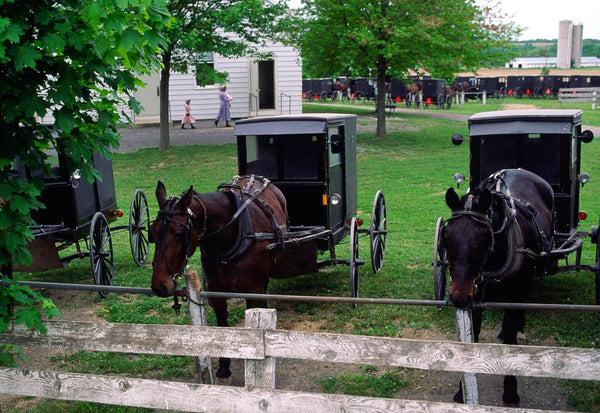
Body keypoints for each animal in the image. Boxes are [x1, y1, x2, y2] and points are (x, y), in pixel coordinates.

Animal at [151, 174, 290, 376]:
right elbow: (222, 324)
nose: (159, 286)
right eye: (151, 232)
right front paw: (224, 364)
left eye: (178, 233)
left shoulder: (254, 291)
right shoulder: (215, 291)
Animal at [440, 168, 552, 406]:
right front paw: (462, 390)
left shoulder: (516, 294)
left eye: (484, 236)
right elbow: (472, 337)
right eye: (446, 235)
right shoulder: (474, 296)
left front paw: (510, 390)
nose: (458, 296)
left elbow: (510, 338)